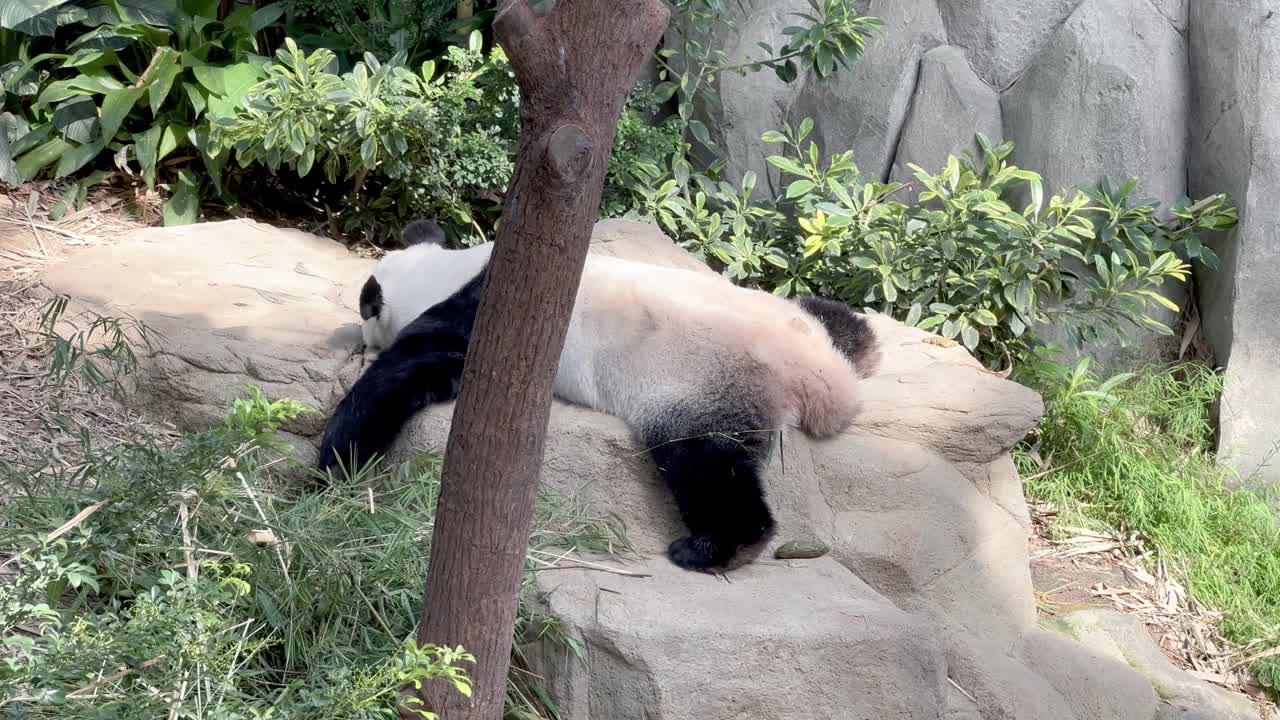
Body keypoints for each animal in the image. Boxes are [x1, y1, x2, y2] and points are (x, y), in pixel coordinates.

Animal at [319, 218, 880, 573]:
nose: (359, 338)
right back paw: (866, 350)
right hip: (787, 315)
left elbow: (403, 376)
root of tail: (817, 378)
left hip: (703, 382)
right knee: (837, 318)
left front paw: (334, 465)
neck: (449, 271)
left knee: (702, 460)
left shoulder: (484, 321)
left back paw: (710, 549)